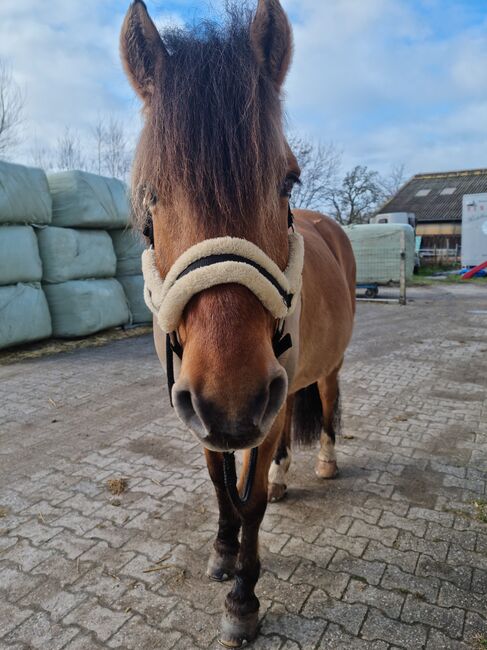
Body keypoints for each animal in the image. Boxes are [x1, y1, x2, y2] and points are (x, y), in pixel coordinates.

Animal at [120, 2, 356, 644]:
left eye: (287, 180)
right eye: (151, 195)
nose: (233, 396)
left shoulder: (254, 403)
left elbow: (249, 503)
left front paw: (243, 599)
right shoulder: (202, 405)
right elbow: (219, 480)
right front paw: (224, 552)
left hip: (320, 369)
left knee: (327, 401)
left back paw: (323, 462)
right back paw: (282, 474)